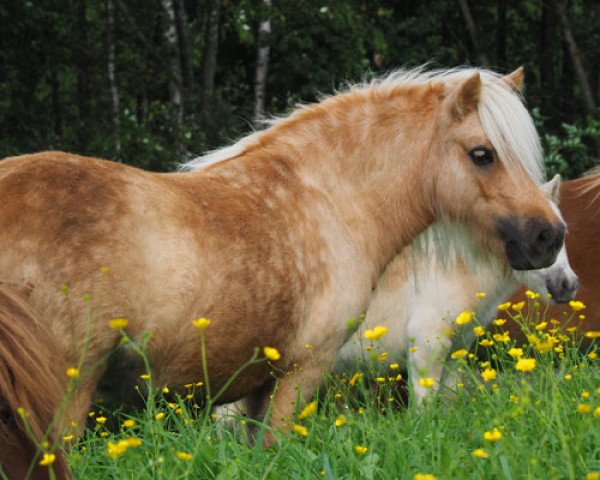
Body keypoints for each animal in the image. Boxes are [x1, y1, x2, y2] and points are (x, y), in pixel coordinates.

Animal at [336, 176, 580, 402]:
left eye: (563, 232)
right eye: (542, 236)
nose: (567, 285)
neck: (454, 270)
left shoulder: (456, 351)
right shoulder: (427, 347)